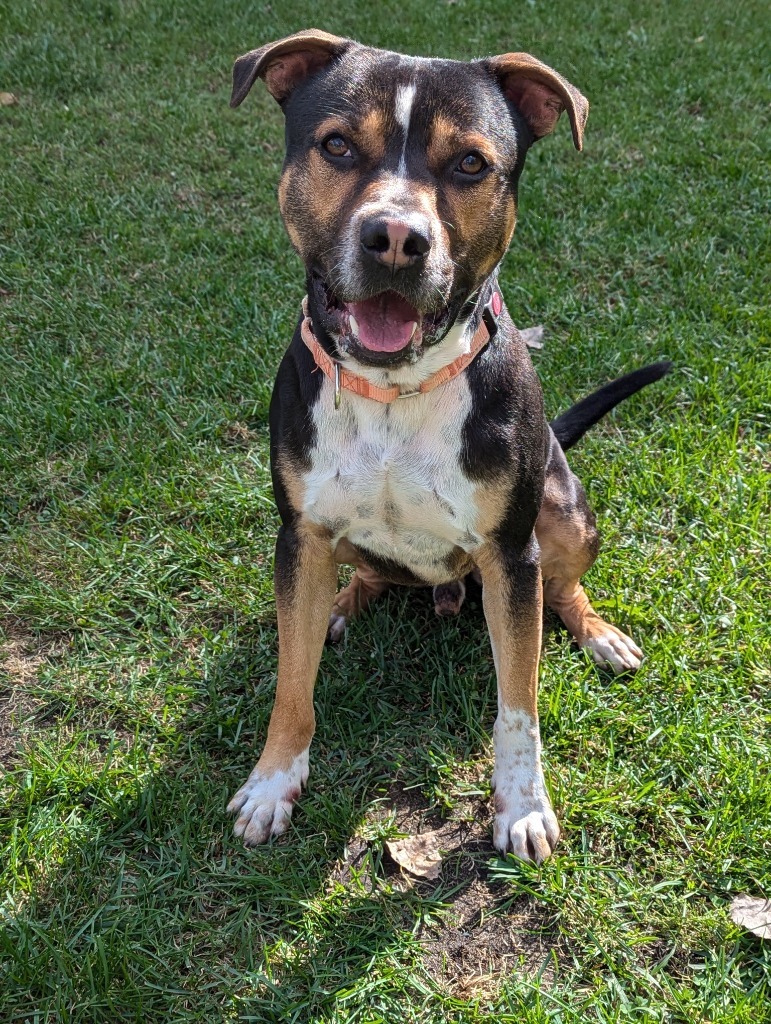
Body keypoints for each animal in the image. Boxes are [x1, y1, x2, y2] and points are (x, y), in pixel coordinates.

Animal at [227, 32, 667, 860]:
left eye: (469, 163)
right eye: (336, 145)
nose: (396, 239)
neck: (395, 389)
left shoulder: (510, 556)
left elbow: (518, 703)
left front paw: (522, 805)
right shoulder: (297, 535)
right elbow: (291, 685)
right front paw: (273, 782)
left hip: (562, 510)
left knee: (564, 589)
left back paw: (597, 635)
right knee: (361, 576)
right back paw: (340, 604)